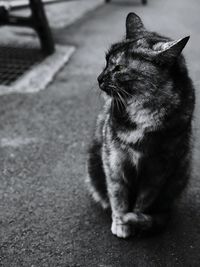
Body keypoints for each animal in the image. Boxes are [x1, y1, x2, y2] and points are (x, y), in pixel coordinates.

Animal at [86, 12, 195, 239]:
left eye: (118, 67)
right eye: (106, 61)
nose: (99, 78)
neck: (145, 109)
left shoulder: (157, 170)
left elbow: (143, 202)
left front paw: (133, 220)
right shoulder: (114, 161)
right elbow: (118, 196)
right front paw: (120, 223)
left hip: (181, 170)